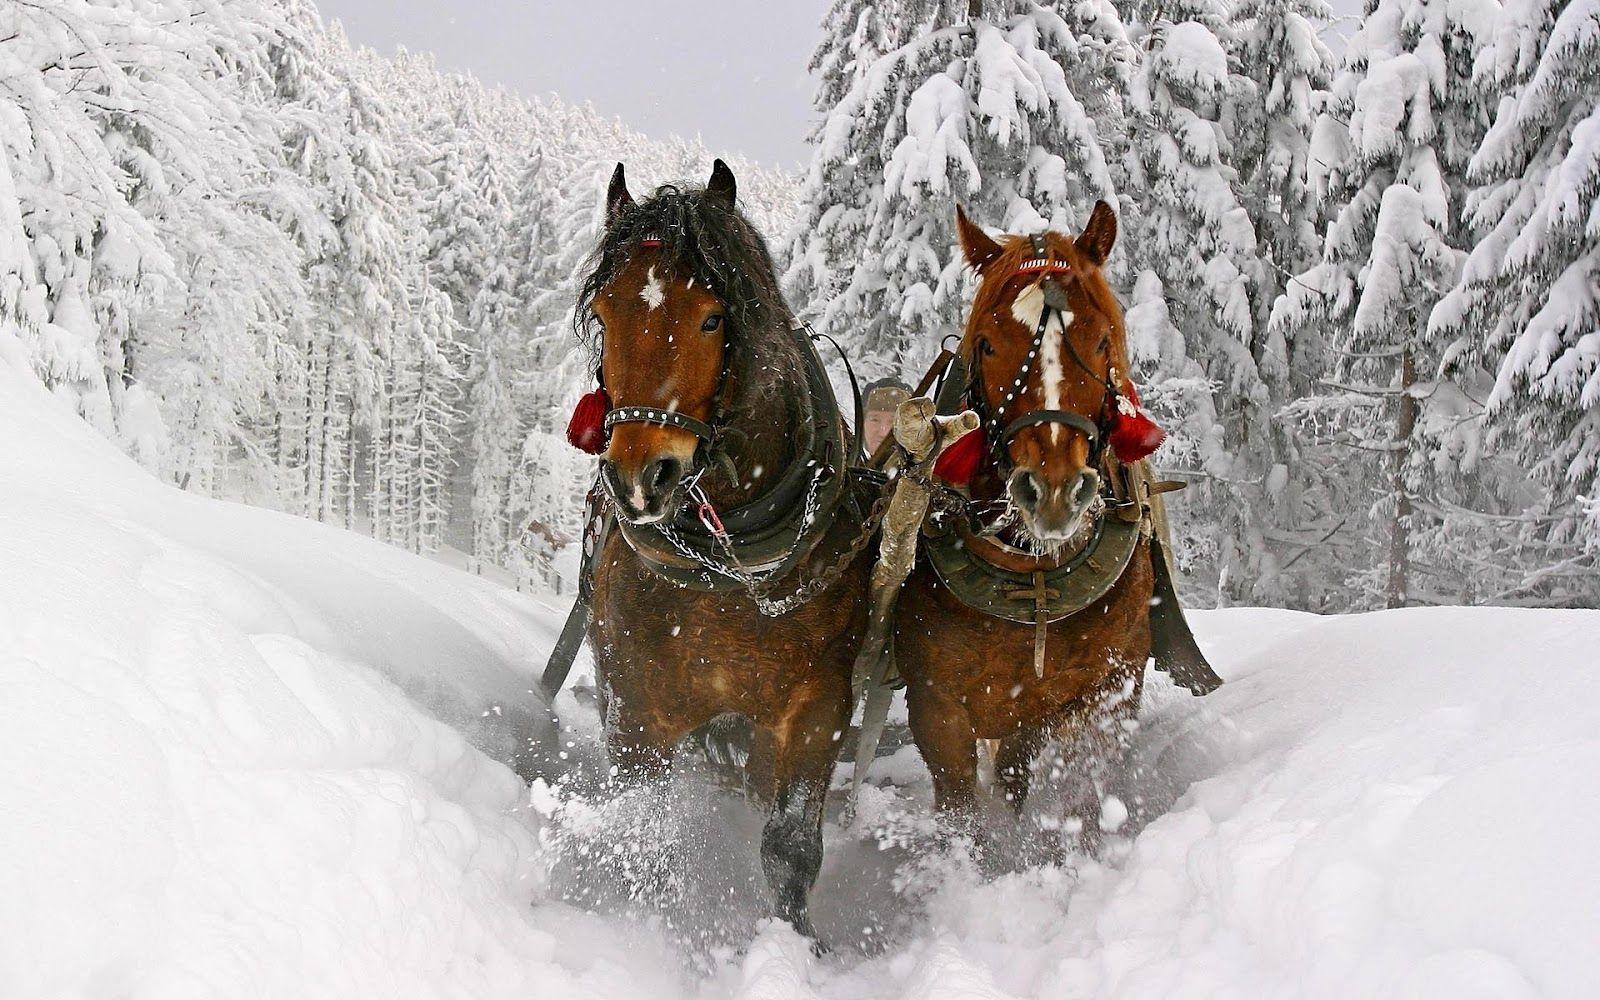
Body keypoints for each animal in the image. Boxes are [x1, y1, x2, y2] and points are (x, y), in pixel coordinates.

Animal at [569, 160, 875, 940]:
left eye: (712, 318)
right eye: (605, 315)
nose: (641, 476)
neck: (728, 572)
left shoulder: (817, 709)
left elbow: (791, 848)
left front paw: (796, 945)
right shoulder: (635, 707)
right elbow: (644, 829)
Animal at [893, 201, 1218, 854]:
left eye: (1100, 338)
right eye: (987, 345)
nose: (1053, 492)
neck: (1033, 575)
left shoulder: (1100, 693)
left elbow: (1075, 794)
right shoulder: (937, 706)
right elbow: (961, 810)